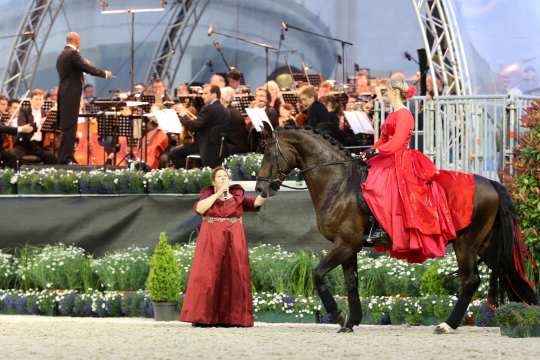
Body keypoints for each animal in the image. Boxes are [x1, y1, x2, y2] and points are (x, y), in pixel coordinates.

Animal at [255, 128, 536, 334]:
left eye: (269, 153)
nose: (260, 189)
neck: (340, 183)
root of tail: (491, 182)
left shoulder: (344, 244)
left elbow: (318, 275)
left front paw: (338, 315)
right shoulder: (349, 246)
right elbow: (351, 283)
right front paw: (351, 321)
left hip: (466, 243)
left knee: (470, 281)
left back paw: (447, 324)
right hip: (485, 245)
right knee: (509, 275)